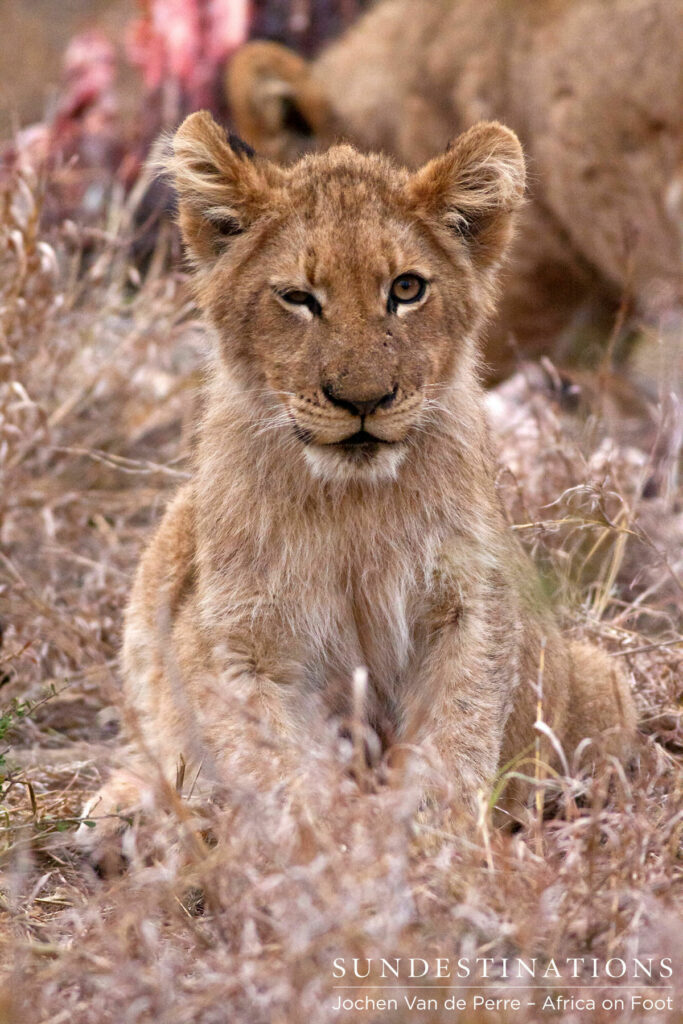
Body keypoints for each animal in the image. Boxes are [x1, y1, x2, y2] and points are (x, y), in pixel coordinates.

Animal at [80, 112, 635, 852]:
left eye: (406, 289)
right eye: (297, 298)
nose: (362, 400)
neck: (351, 507)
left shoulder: (469, 604)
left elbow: (455, 737)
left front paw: (437, 851)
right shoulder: (241, 640)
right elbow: (274, 766)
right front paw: (325, 857)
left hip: (606, 684)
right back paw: (127, 812)